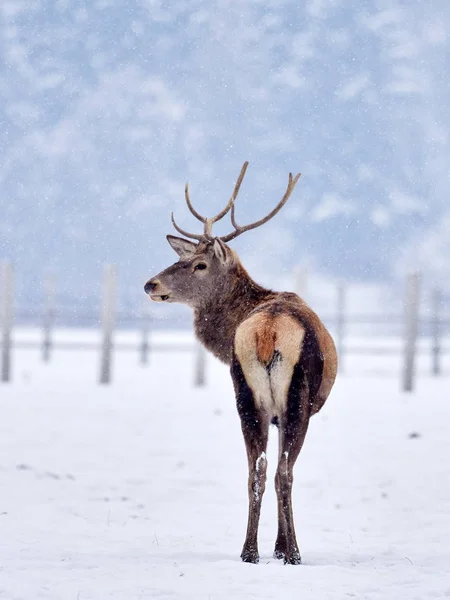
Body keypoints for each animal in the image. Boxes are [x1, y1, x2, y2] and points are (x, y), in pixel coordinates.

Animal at [144, 162, 338, 564]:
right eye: (183, 259)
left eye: (198, 264)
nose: (150, 284)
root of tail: (267, 333)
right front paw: (282, 548)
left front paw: (273, 547)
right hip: (296, 399)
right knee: (282, 471)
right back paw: (293, 553)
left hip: (247, 394)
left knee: (258, 468)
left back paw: (249, 551)